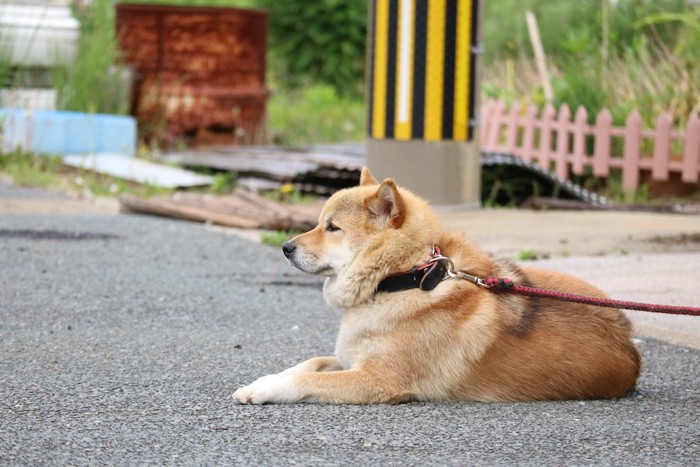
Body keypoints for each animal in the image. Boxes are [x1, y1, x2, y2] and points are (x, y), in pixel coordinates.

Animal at [234, 169, 640, 406]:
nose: (285, 247)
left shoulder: (377, 381)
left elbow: (307, 378)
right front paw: (263, 379)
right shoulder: (349, 359)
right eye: (319, 223)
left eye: (331, 228)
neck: (403, 278)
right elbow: (310, 363)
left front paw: (265, 390)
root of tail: (630, 345)